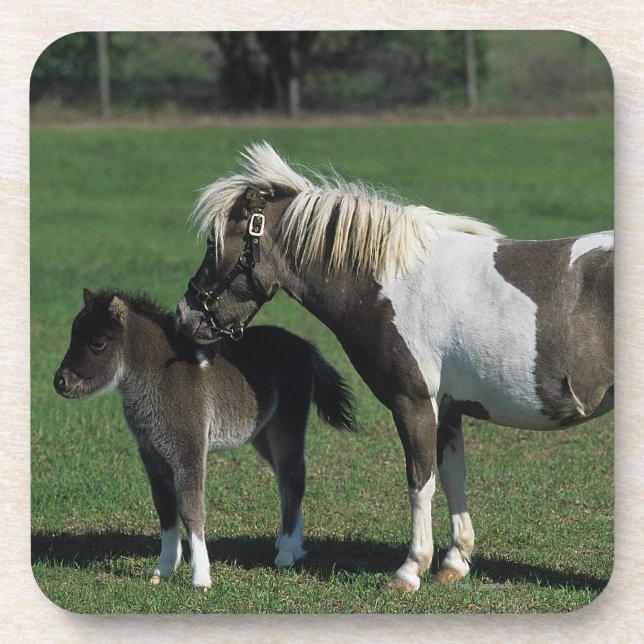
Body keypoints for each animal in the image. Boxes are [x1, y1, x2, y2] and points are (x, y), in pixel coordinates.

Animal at [54, 288, 356, 588]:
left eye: (98, 342)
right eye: (72, 334)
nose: (60, 382)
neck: (159, 379)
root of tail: (305, 345)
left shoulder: (188, 450)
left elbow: (191, 510)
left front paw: (201, 578)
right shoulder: (152, 454)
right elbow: (165, 509)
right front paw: (163, 569)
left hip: (287, 423)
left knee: (293, 478)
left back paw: (286, 554)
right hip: (262, 433)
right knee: (286, 479)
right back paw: (289, 544)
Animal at [175, 142, 614, 592]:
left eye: (215, 244)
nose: (186, 314)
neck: (392, 284)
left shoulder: (413, 403)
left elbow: (419, 484)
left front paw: (410, 570)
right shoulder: (447, 409)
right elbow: (452, 477)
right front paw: (454, 563)